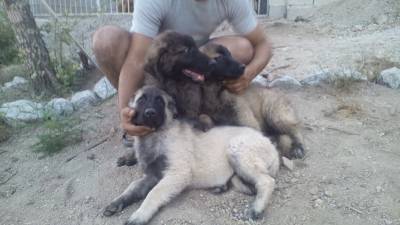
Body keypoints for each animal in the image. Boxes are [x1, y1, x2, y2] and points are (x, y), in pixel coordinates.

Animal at [101, 85, 280, 224]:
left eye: (160, 101)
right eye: (141, 100)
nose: (150, 113)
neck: (156, 135)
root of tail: (272, 147)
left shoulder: (177, 174)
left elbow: (153, 193)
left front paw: (139, 215)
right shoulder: (151, 176)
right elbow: (133, 187)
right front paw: (117, 202)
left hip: (237, 149)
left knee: (266, 181)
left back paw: (257, 208)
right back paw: (221, 187)